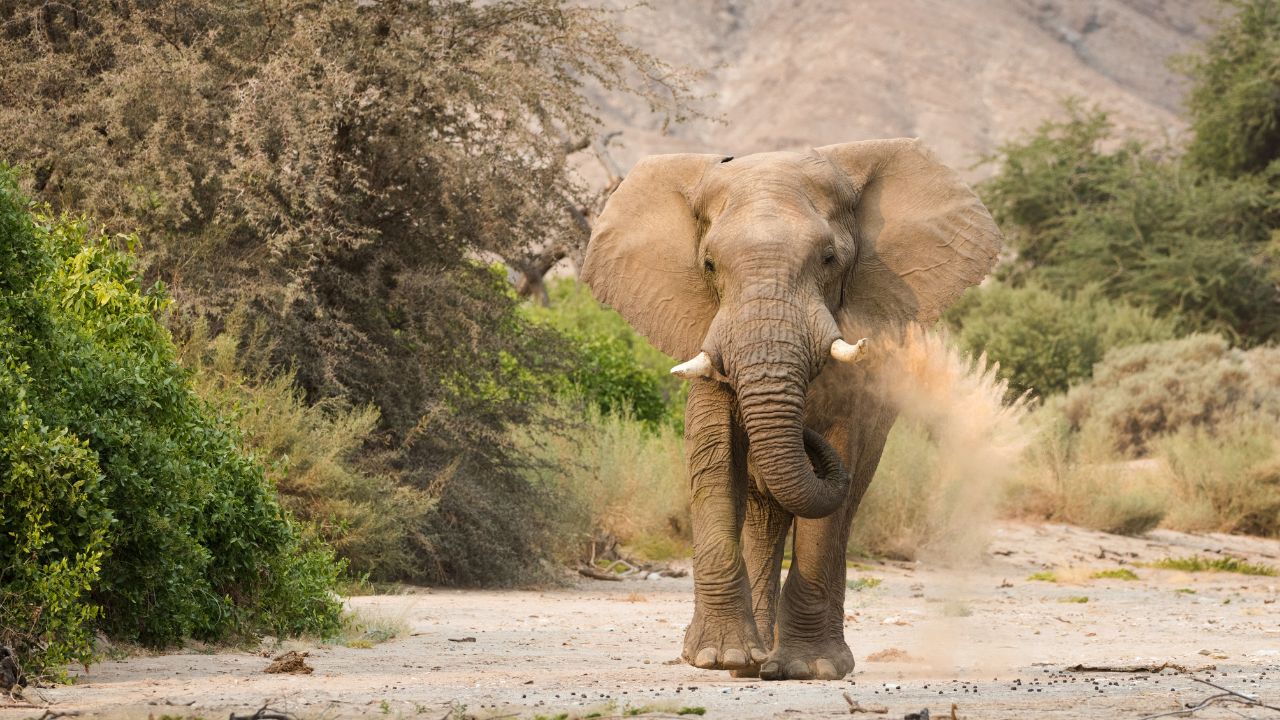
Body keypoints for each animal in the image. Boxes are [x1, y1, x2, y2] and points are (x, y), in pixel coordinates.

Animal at [580, 139, 1002, 681]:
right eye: (709, 265)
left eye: (829, 258)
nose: (804, 433)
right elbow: (715, 459)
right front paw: (717, 658)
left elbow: (835, 471)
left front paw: (807, 667)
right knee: (763, 516)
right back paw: (751, 664)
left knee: (843, 507)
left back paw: (803, 663)